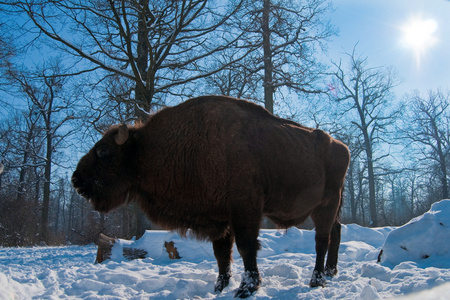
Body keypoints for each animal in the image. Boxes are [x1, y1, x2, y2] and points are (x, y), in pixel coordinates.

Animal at [72, 96, 350, 298]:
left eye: (103, 151)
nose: (76, 180)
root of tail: (343, 147)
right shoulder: (219, 216)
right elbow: (221, 253)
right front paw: (219, 287)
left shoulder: (244, 209)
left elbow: (246, 247)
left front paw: (247, 288)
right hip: (330, 207)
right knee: (335, 232)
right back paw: (331, 272)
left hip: (326, 205)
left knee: (322, 239)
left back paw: (316, 280)